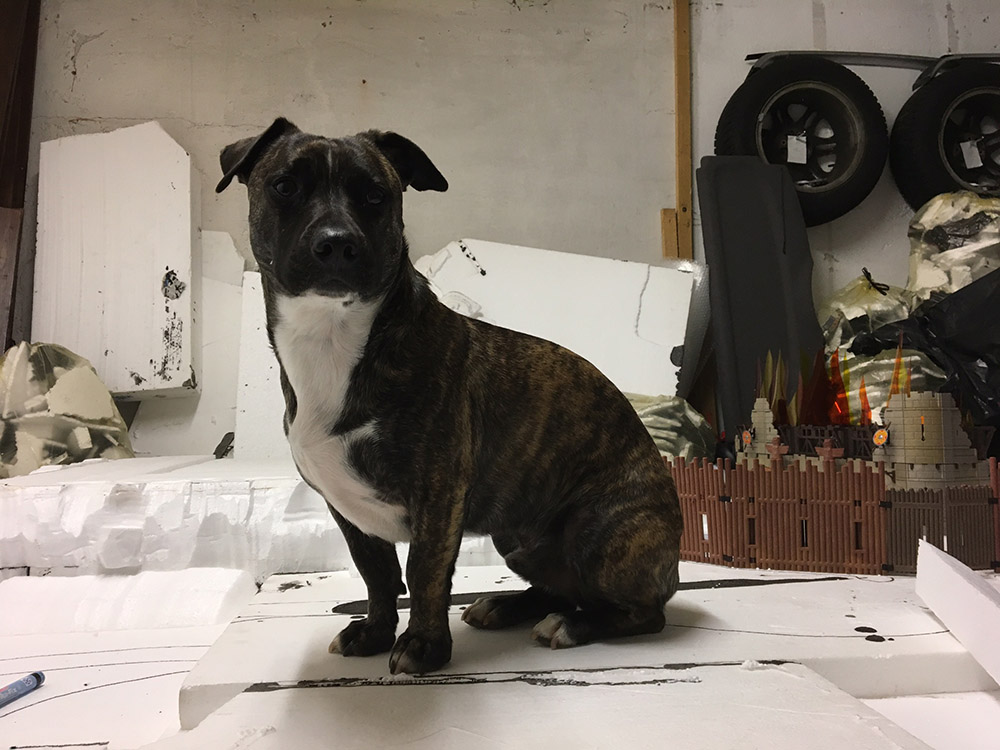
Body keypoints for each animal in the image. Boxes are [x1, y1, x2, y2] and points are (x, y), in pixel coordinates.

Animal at [217, 118, 683, 675]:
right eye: (284, 185)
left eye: (375, 195)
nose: (336, 243)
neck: (334, 338)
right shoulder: (347, 509)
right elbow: (376, 575)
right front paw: (375, 632)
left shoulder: (437, 494)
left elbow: (424, 572)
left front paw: (422, 645)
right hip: (517, 540)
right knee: (558, 587)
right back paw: (507, 606)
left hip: (600, 533)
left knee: (639, 612)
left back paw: (574, 625)